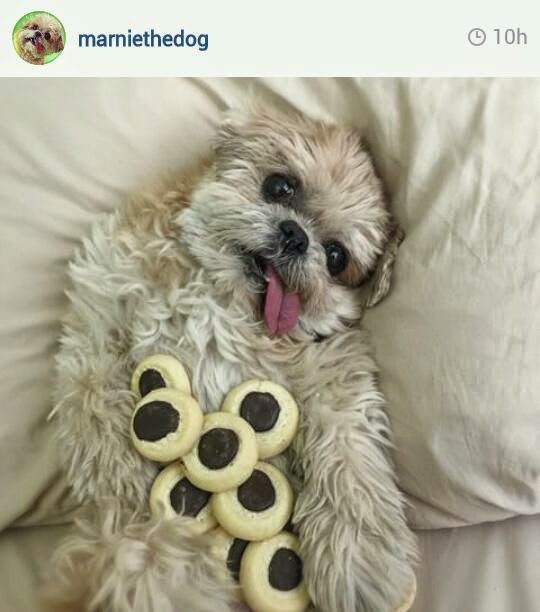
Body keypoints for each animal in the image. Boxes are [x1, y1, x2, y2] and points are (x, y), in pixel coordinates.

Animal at [46, 107, 417, 612]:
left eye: (337, 257)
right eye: (280, 186)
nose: (296, 236)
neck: (224, 299)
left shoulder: (335, 367)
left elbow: (348, 454)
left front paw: (360, 557)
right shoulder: (101, 306)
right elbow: (93, 395)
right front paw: (119, 477)